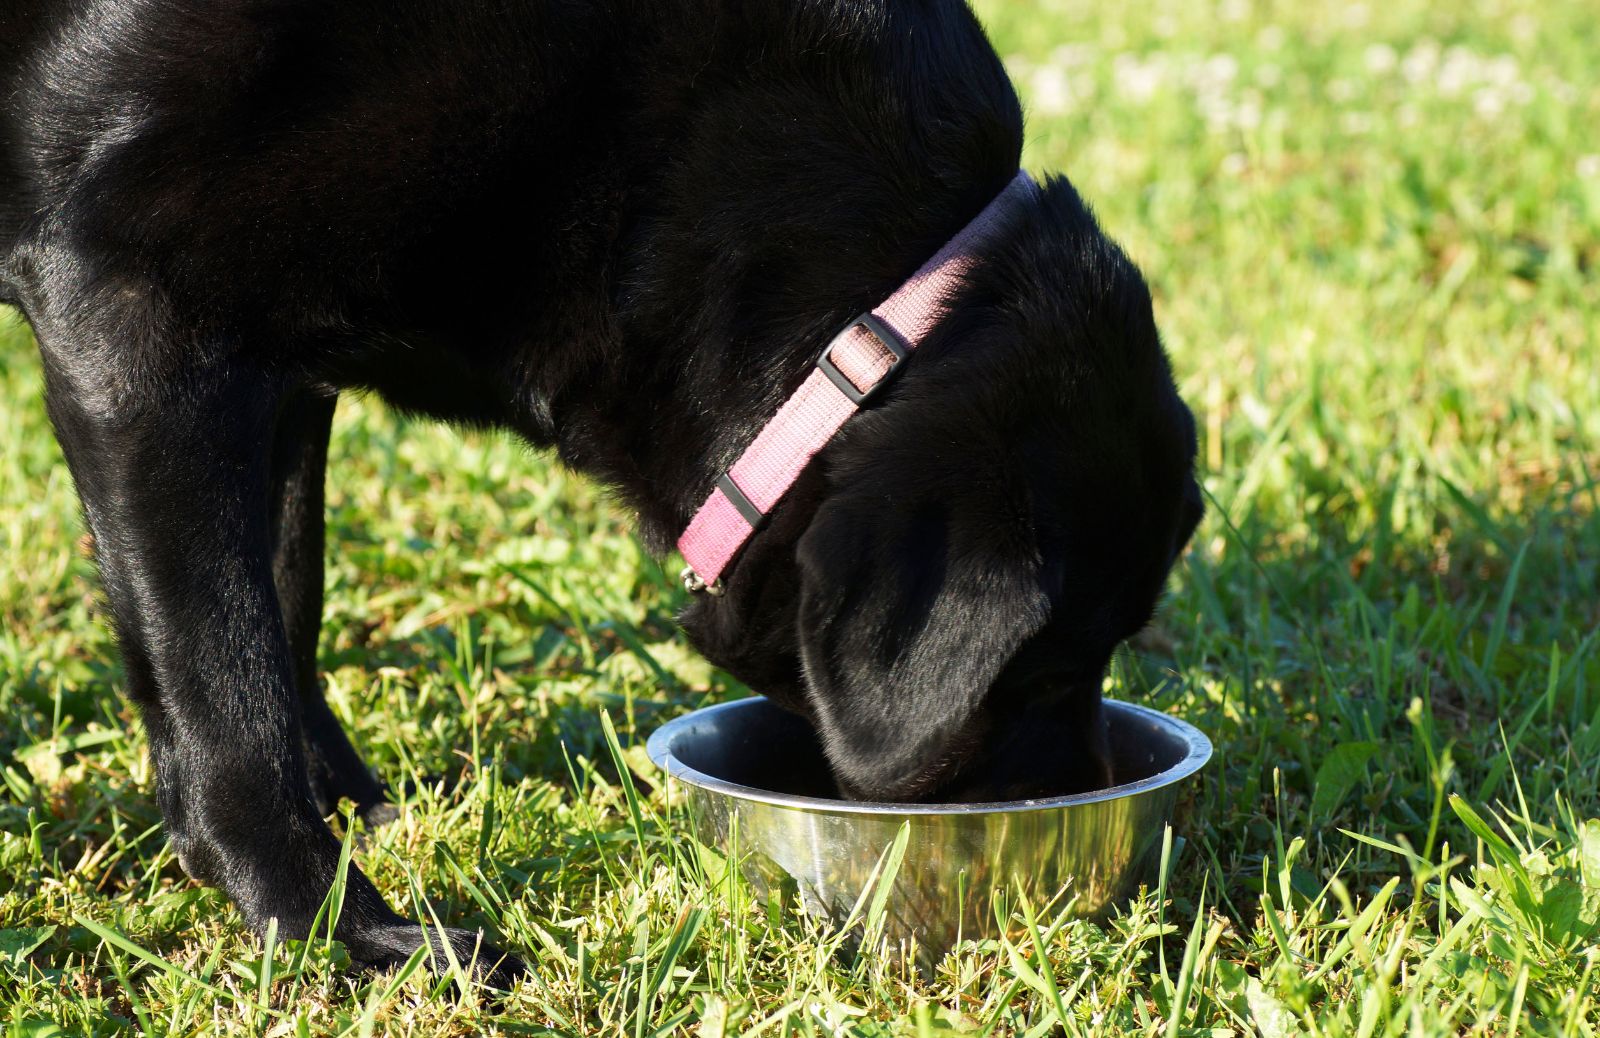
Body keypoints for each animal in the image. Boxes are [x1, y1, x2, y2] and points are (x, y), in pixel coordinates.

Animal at [0, 0, 1203, 985]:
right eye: (1042, 672)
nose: (1079, 795)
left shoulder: (283, 357)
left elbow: (285, 601)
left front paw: (348, 807)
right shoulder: (137, 317)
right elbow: (224, 683)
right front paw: (338, 931)